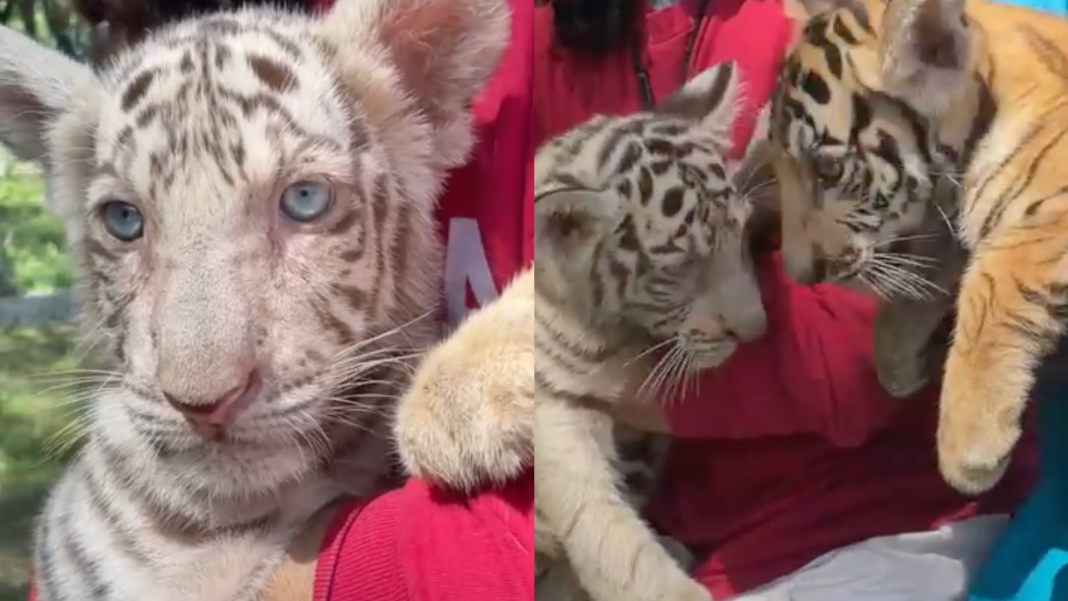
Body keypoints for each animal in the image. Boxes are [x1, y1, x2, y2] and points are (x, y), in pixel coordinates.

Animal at [767, 0, 1068, 495]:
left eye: (828, 170)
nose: (799, 275)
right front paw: (901, 370)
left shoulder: (1049, 221)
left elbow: (992, 287)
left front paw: (970, 445)